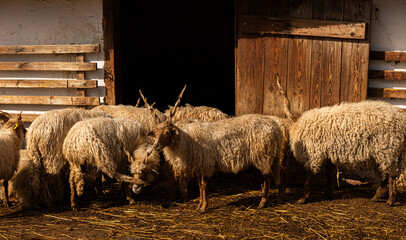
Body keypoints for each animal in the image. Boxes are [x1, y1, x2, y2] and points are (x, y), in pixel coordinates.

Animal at [147, 86, 288, 212]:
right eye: (155, 132)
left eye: (167, 132)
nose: (156, 146)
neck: (186, 139)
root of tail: (275, 126)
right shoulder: (199, 165)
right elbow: (200, 186)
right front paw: (199, 206)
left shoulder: (206, 163)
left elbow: (204, 185)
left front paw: (203, 207)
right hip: (275, 154)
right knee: (279, 172)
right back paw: (280, 197)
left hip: (263, 154)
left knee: (267, 177)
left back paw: (262, 203)